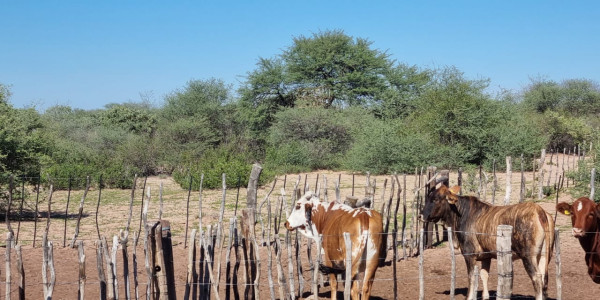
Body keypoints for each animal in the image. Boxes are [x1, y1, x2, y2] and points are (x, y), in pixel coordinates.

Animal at [422, 185, 552, 300]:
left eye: (435, 199)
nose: (421, 215)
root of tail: (539, 210)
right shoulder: (486, 256)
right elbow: (484, 275)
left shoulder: (469, 255)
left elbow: (471, 278)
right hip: (544, 256)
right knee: (544, 279)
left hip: (528, 256)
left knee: (537, 278)